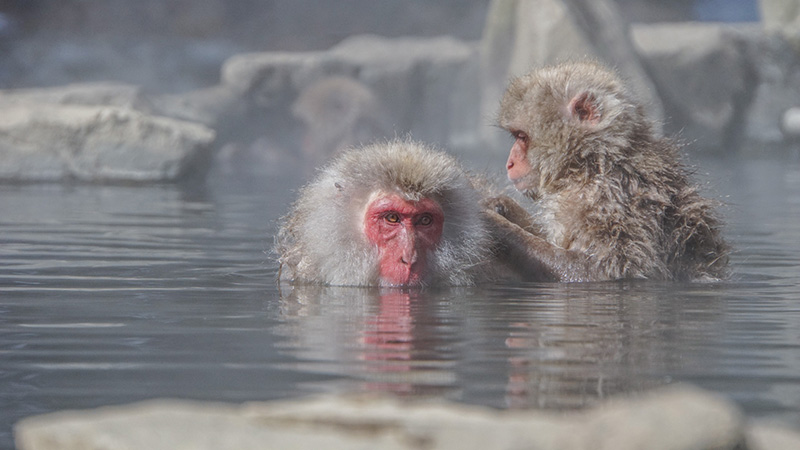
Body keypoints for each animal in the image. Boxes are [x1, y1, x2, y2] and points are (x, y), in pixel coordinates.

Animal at [488, 60, 730, 282]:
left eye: (521, 137)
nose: (510, 163)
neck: (595, 164)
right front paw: (502, 206)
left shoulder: (609, 201)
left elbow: (606, 271)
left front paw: (496, 224)